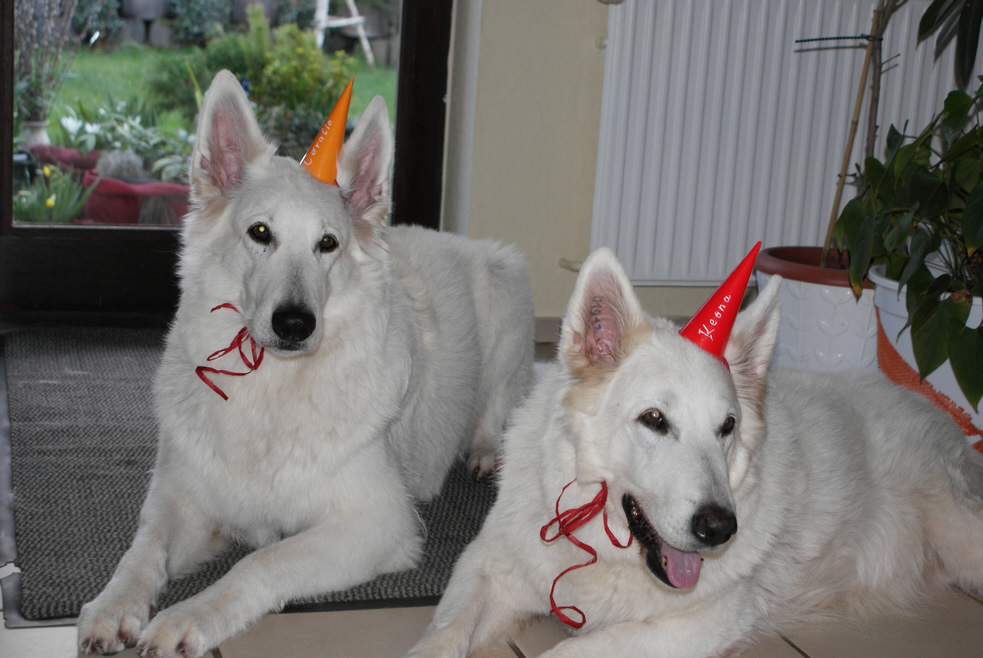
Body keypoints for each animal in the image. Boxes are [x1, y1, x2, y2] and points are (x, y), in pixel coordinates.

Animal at [76, 70, 534, 658]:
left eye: (327, 243)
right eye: (260, 233)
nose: (295, 323)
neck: (272, 385)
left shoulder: (376, 524)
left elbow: (258, 562)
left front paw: (187, 616)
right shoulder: (180, 499)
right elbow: (142, 549)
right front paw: (113, 606)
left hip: (507, 291)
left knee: (499, 406)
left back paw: (485, 452)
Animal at [407, 247, 983, 657]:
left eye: (727, 427)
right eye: (654, 420)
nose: (718, 528)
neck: (600, 545)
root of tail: (938, 412)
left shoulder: (692, 628)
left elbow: (571, 652)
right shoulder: (487, 568)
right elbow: (443, 631)